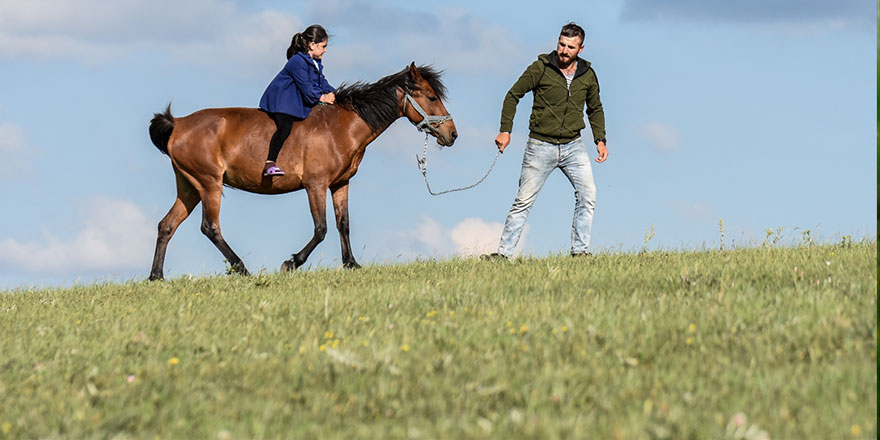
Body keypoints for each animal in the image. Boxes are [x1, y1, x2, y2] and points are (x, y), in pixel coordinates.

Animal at [145, 63, 458, 280]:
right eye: (431, 97)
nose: (452, 134)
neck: (341, 127)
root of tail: (178, 123)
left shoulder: (340, 184)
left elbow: (343, 223)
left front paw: (351, 263)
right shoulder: (315, 185)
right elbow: (321, 229)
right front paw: (291, 263)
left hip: (189, 187)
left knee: (167, 225)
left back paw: (156, 276)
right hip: (209, 183)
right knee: (210, 227)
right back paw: (241, 268)